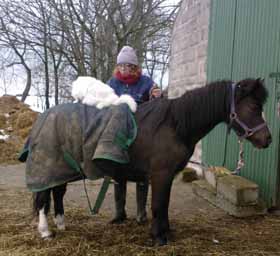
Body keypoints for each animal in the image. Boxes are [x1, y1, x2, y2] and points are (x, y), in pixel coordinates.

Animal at [32, 78, 272, 246]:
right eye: (253, 107)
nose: (267, 139)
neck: (174, 125)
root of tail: (45, 117)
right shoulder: (161, 174)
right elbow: (158, 204)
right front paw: (159, 237)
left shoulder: (167, 176)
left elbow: (164, 205)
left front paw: (166, 232)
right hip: (50, 168)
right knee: (44, 198)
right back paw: (45, 232)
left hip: (63, 170)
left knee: (57, 194)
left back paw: (61, 225)